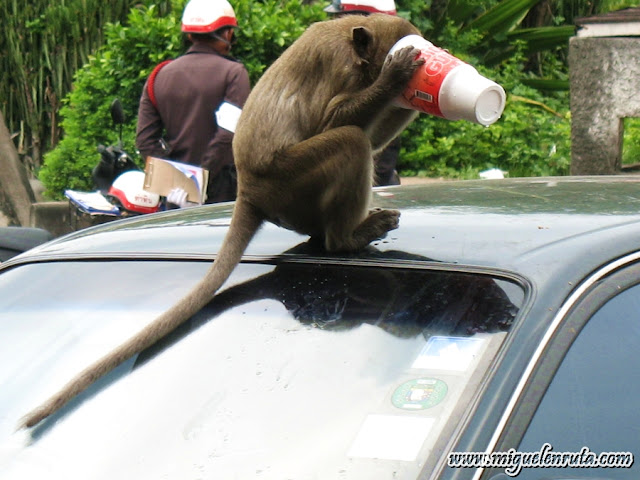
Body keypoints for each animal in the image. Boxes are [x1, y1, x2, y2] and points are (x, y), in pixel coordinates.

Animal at [18, 13, 424, 430]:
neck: (355, 43)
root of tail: (249, 193)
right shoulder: (339, 66)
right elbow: (336, 122)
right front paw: (395, 78)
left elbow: (374, 139)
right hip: (292, 180)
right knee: (349, 142)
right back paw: (347, 238)